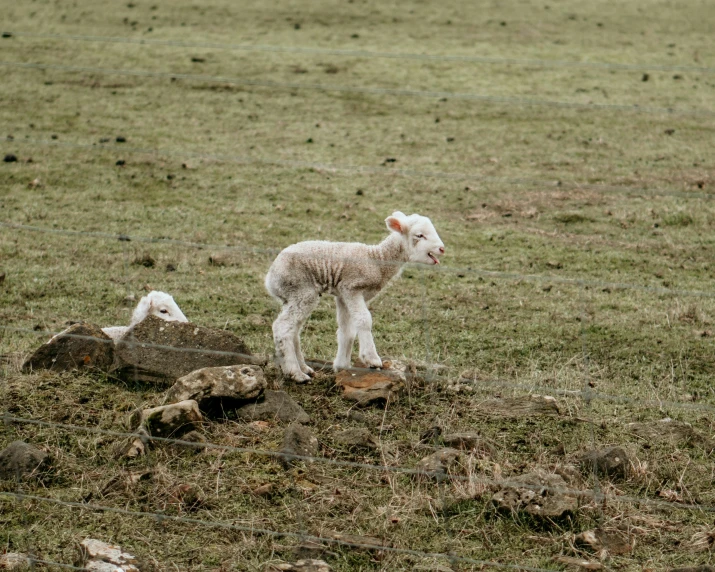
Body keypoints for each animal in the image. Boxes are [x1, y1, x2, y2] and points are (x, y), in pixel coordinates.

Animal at [266, 212, 444, 382]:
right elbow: (364, 320)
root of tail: (270, 278)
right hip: (302, 290)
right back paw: (296, 373)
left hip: (293, 297)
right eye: (420, 235)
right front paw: (372, 359)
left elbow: (347, 330)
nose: (442, 249)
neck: (377, 261)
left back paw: (302, 368)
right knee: (282, 327)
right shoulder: (352, 288)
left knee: (294, 329)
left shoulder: (342, 294)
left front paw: (342, 366)